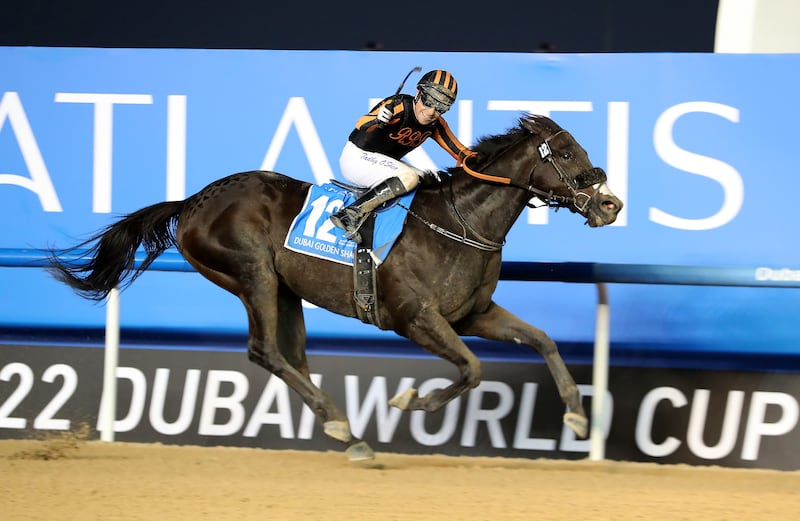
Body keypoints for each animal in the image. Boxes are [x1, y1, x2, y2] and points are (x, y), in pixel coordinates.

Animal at [47, 114, 624, 460]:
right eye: (566, 154)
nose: (610, 203)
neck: (460, 223)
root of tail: (192, 202)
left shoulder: (471, 315)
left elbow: (542, 341)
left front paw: (577, 415)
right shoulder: (415, 317)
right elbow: (472, 369)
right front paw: (411, 401)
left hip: (285, 290)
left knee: (292, 357)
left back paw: (346, 431)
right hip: (252, 274)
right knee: (264, 351)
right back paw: (344, 426)